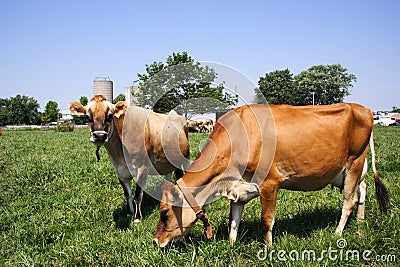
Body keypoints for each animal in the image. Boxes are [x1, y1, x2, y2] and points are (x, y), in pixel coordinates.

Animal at [69, 95, 190, 223]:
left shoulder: (143, 168)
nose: (100, 136)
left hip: (186, 157)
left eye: (110, 115)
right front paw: (129, 213)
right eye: (87, 116)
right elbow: (127, 193)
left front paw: (137, 217)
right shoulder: (120, 171)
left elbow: (137, 195)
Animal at [152, 102, 388, 247]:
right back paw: (360, 222)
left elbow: (266, 221)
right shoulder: (238, 189)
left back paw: (338, 233)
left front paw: (268, 248)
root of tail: (363, 108)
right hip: (346, 171)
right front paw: (231, 244)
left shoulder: (270, 183)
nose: (155, 241)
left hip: (354, 162)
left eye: (164, 213)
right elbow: (233, 220)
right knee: (362, 189)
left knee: (349, 200)